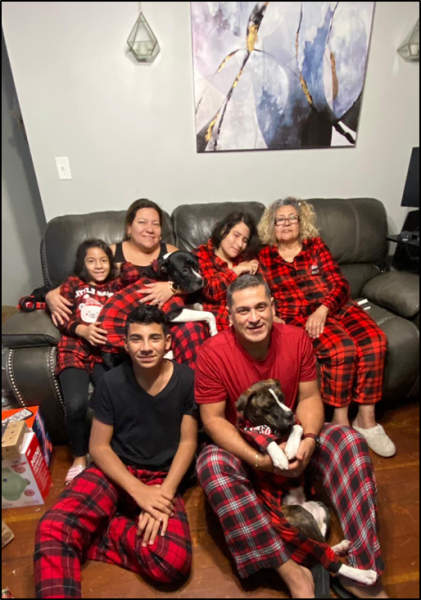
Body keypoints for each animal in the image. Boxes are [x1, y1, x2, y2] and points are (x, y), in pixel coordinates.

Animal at [236, 380, 378, 584]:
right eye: (268, 406)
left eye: (282, 398)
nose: (290, 414)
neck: (276, 430)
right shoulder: (251, 436)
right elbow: (266, 441)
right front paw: (280, 457)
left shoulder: (296, 426)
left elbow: (298, 428)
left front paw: (291, 448)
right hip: (299, 515)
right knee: (327, 559)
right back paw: (365, 575)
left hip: (320, 509)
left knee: (322, 548)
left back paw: (340, 547)